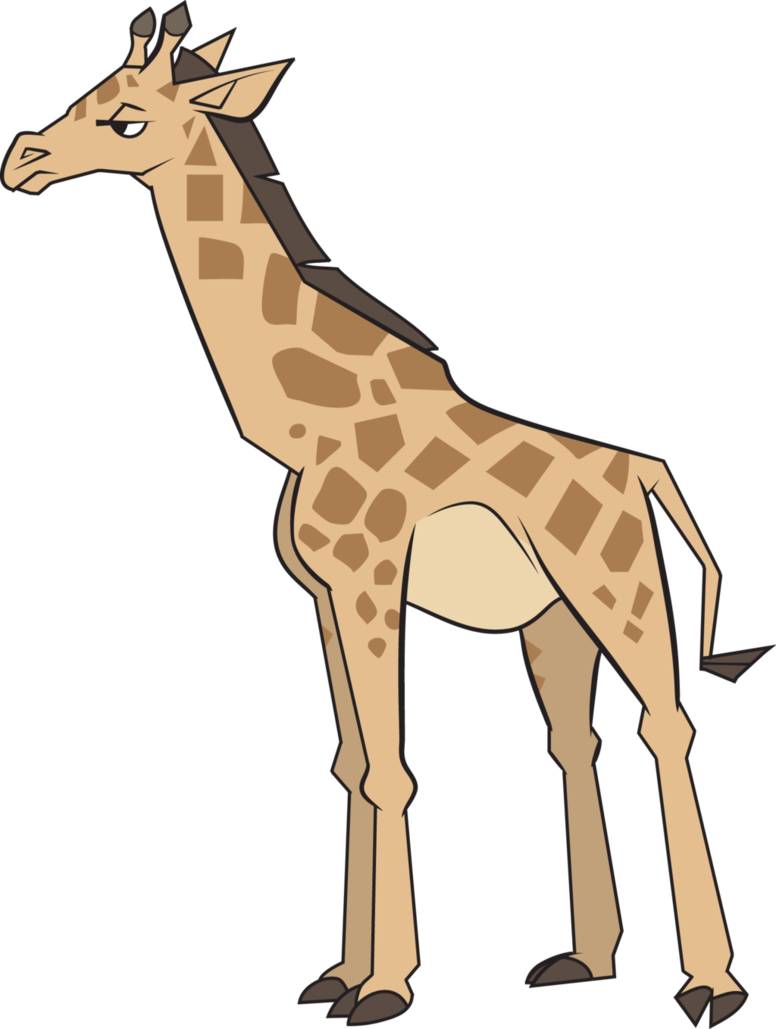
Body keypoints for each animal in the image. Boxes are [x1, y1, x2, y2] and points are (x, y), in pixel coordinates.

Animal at [3, 5, 772, 1027]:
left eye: (127, 120)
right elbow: (351, 765)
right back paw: (584, 959)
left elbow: (391, 767)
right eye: (88, 92)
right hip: (553, 621)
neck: (304, 422)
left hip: (623, 588)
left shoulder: (373, 580)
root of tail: (644, 472)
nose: (22, 159)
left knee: (668, 727)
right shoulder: (325, 596)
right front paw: (339, 974)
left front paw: (384, 988)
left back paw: (711, 985)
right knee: (578, 743)